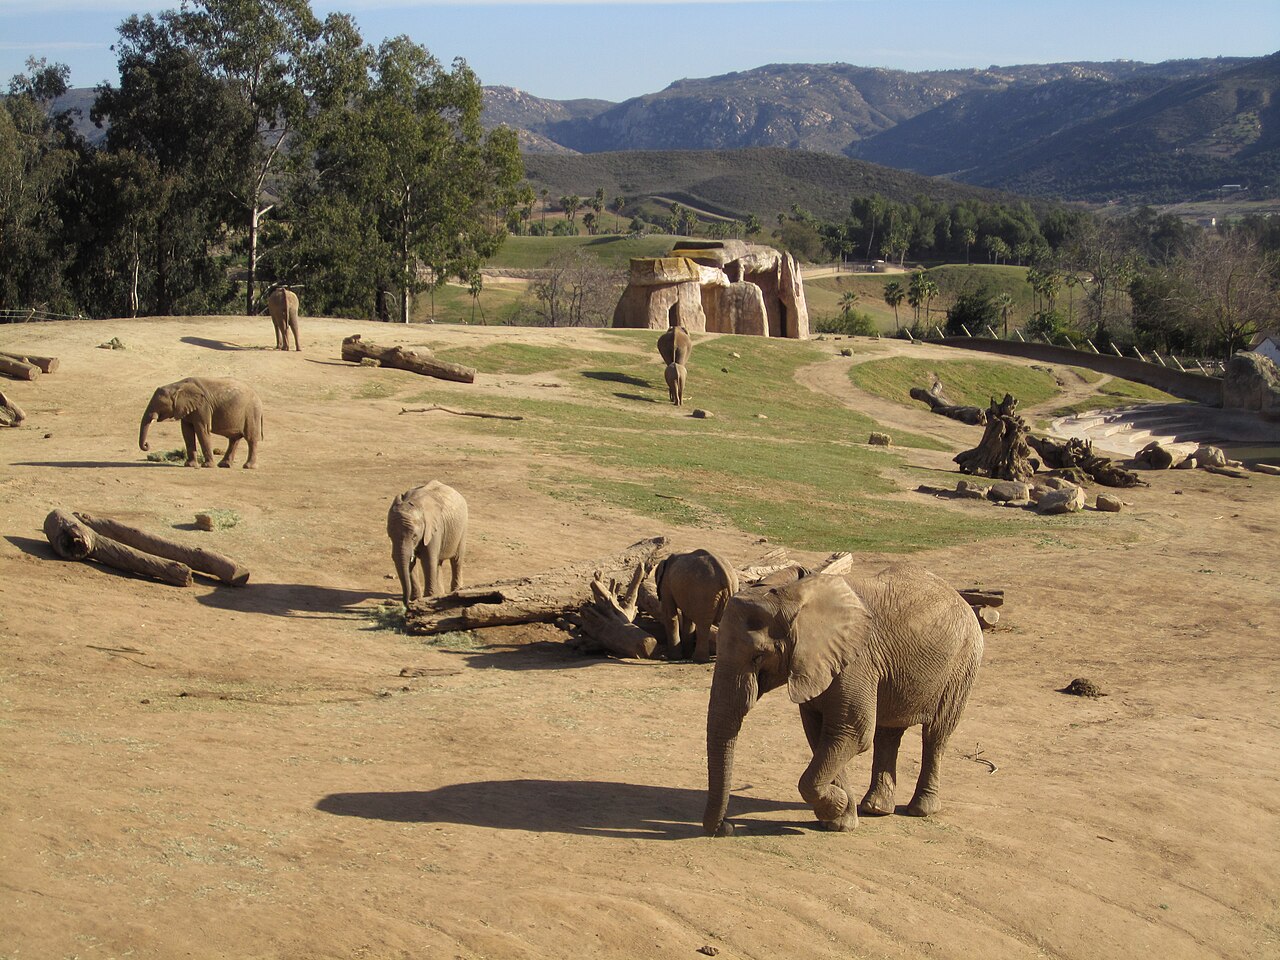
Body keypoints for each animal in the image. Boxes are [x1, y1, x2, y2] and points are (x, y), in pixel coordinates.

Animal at [704, 564, 983, 836]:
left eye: (759, 656)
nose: (726, 826)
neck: (792, 592)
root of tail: (960, 597)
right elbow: (822, 734)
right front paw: (838, 820)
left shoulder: (857, 661)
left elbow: (851, 732)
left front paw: (836, 807)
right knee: (888, 733)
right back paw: (875, 808)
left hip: (962, 663)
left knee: (936, 734)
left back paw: (920, 809)